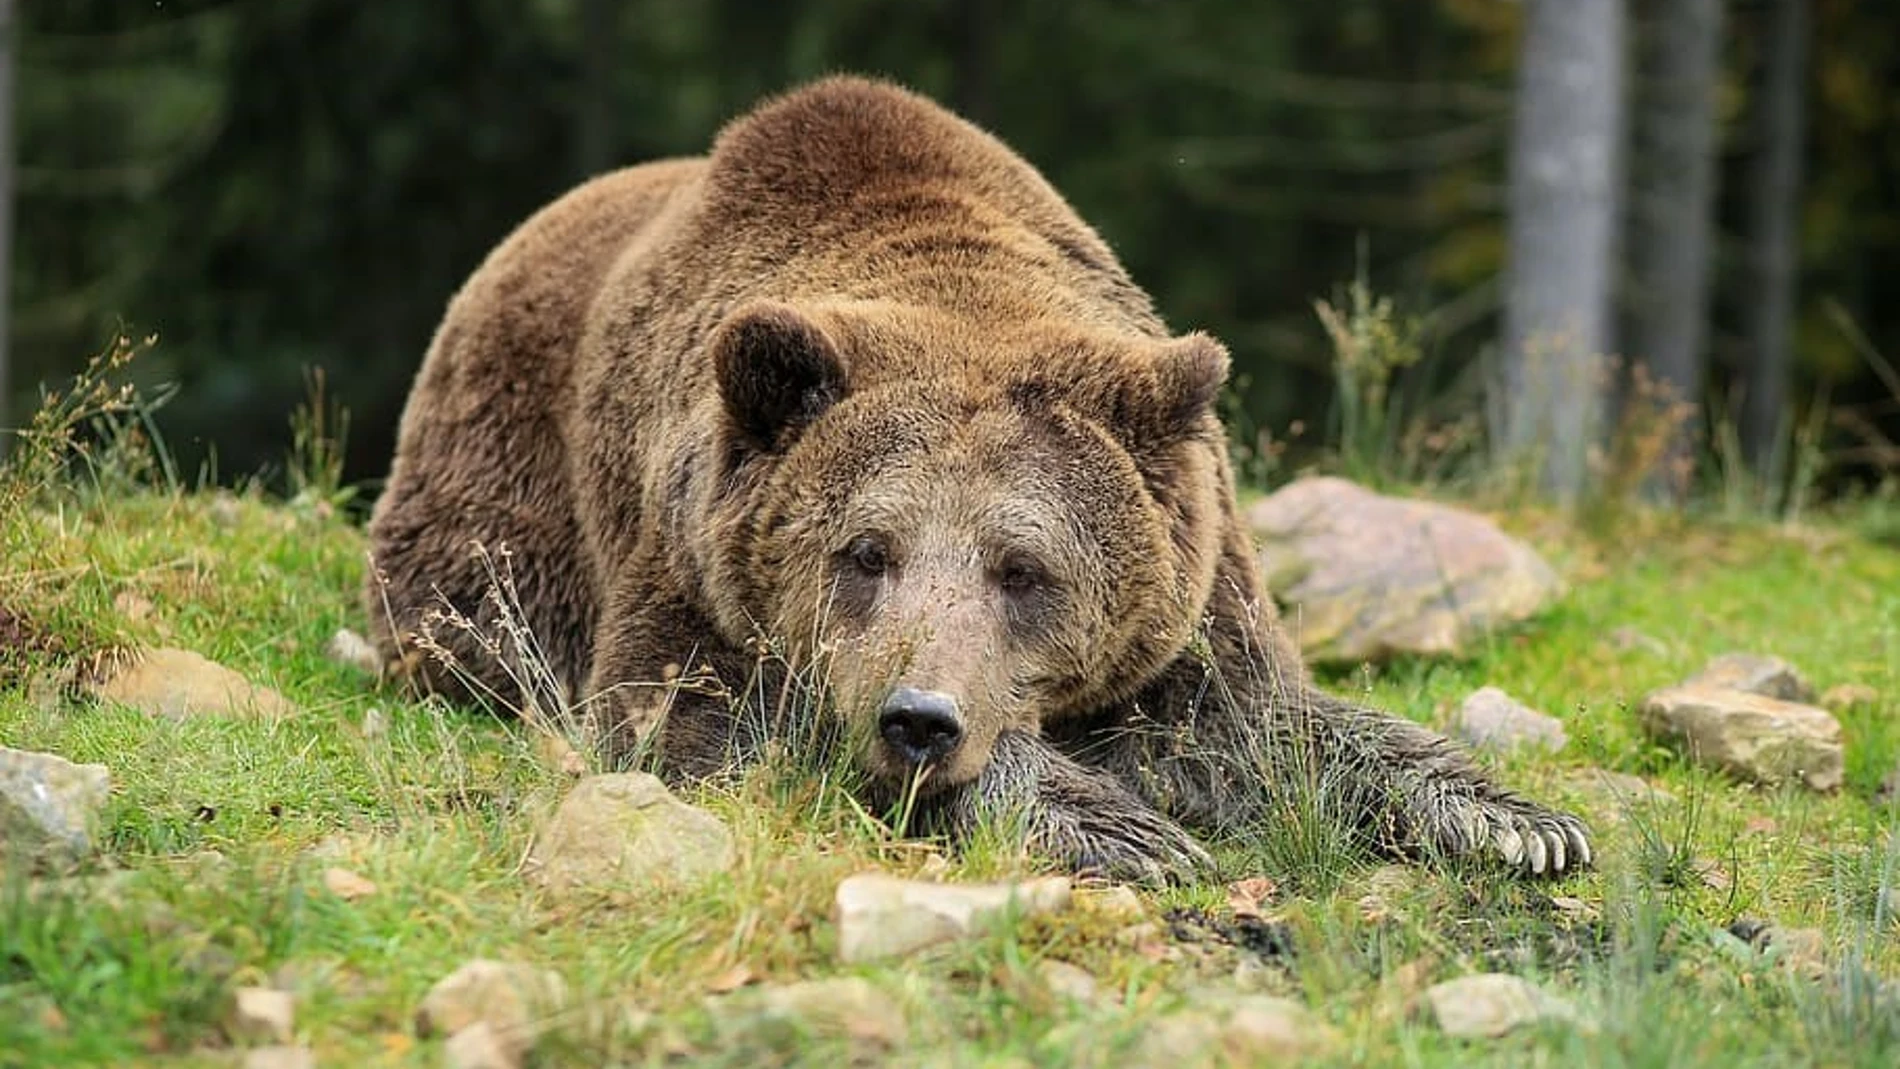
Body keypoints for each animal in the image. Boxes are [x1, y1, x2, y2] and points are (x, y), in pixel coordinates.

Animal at [366, 71, 1588, 881]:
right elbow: (712, 723)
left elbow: (1264, 724)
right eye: (865, 551)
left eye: (1022, 567)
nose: (922, 719)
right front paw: (1128, 833)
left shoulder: (1192, 596)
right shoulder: (692, 570)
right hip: (494, 494)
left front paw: (1519, 822)